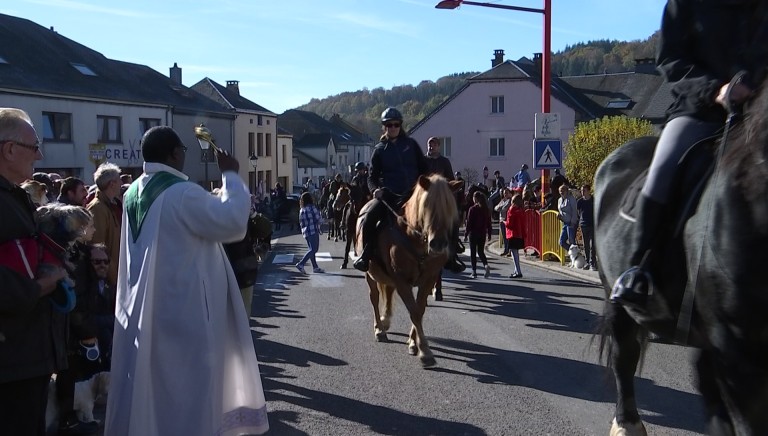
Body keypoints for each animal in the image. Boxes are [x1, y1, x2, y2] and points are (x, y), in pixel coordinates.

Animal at [356, 174, 460, 368]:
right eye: (427, 207)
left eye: (450, 209)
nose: (438, 244)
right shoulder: (402, 280)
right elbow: (414, 312)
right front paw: (425, 352)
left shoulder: (428, 279)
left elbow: (419, 309)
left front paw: (413, 343)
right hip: (369, 273)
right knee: (374, 297)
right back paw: (379, 329)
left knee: (388, 292)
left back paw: (385, 321)